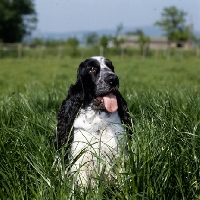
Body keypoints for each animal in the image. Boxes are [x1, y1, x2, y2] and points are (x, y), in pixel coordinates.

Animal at [54, 55, 132, 185]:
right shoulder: (81, 161)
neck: (98, 120)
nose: (113, 79)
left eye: (111, 67)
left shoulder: (119, 154)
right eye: (91, 69)